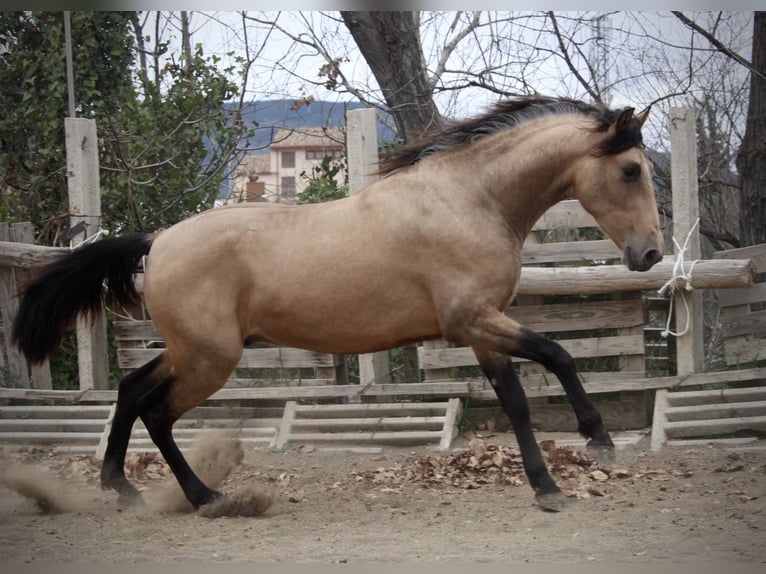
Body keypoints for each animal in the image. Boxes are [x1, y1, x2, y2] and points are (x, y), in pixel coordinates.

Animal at [12, 97, 664, 516]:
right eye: (631, 169)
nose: (651, 253)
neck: (468, 199)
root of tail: (157, 242)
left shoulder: (485, 330)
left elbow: (518, 401)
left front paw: (547, 486)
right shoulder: (473, 321)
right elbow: (558, 355)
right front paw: (596, 438)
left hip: (191, 351)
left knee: (130, 390)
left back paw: (121, 486)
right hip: (209, 360)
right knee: (156, 411)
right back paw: (205, 498)